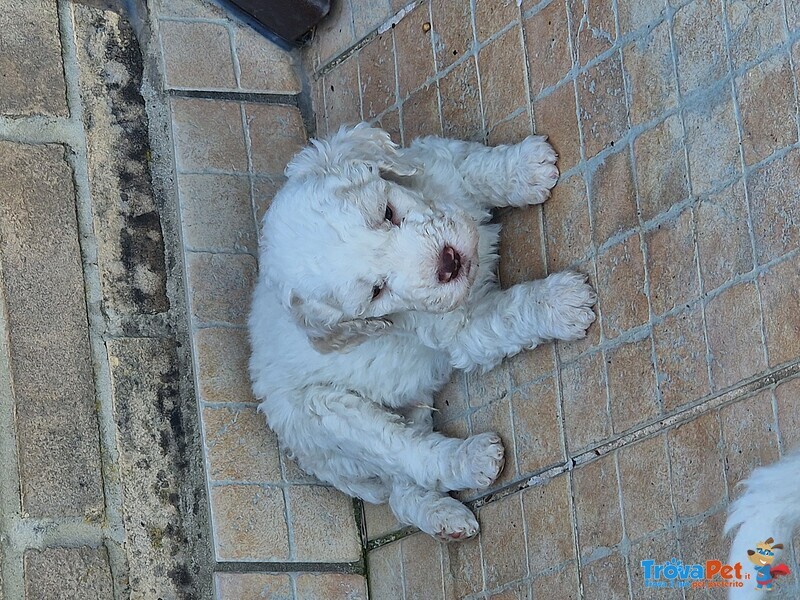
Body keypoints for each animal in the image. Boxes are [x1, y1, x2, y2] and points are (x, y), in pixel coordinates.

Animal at [248, 124, 592, 540]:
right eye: (377, 291)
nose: (448, 263)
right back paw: (472, 461)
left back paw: (446, 519)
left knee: (403, 488)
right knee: (409, 456)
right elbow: (508, 314)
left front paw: (526, 168)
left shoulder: (436, 163)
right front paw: (563, 303)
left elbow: (472, 167)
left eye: (387, 213)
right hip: (333, 420)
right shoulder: (458, 327)